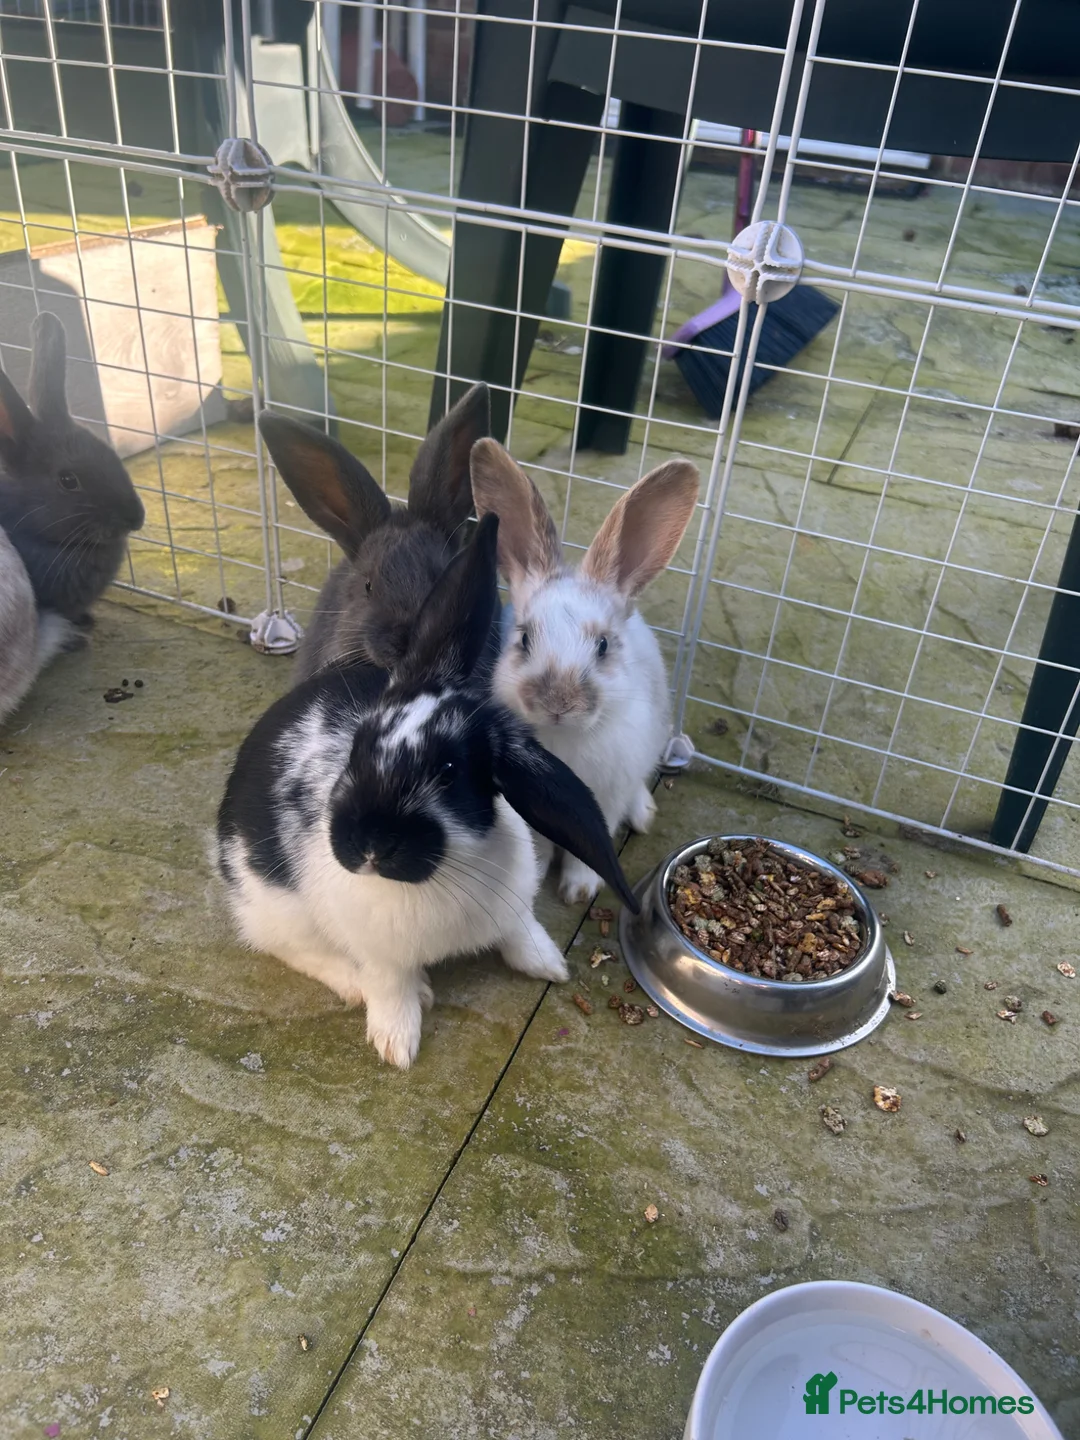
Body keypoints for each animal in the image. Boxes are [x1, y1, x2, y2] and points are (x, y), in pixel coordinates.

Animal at [216, 511, 638, 1069]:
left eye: (450, 771)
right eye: (357, 747)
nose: (368, 846)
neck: (450, 870)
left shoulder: (513, 906)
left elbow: (520, 931)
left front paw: (548, 966)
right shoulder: (379, 953)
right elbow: (389, 986)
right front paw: (397, 1044)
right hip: (276, 905)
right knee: (291, 948)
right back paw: (368, 985)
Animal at [470, 439, 700, 906]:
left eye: (603, 645)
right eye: (524, 639)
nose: (557, 703)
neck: (565, 739)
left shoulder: (606, 797)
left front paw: (578, 890)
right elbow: (539, 846)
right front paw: (538, 877)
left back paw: (643, 814)